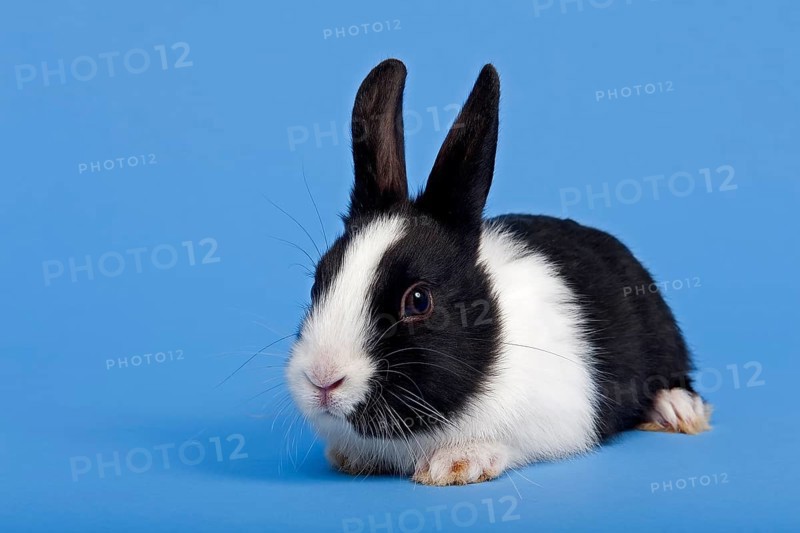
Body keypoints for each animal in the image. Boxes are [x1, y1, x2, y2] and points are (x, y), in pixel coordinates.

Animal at [285, 59, 712, 486]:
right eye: (318, 281)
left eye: (419, 300)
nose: (323, 379)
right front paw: (351, 458)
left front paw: (455, 464)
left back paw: (677, 411)